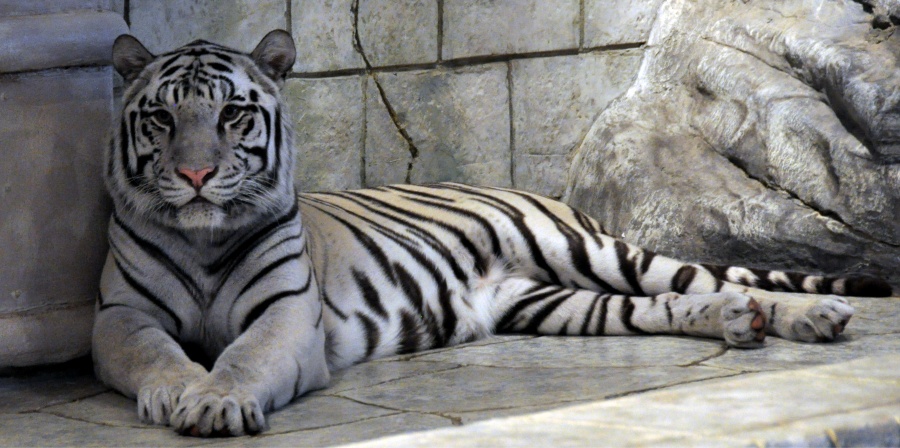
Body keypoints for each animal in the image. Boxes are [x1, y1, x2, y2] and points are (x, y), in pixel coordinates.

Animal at [95, 29, 893, 437]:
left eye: (233, 114)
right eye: (161, 117)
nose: (197, 175)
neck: (203, 237)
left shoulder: (287, 315)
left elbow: (243, 357)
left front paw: (216, 401)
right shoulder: (122, 317)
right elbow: (158, 355)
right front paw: (182, 392)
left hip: (593, 252)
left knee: (700, 276)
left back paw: (809, 316)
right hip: (552, 303)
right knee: (670, 304)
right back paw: (736, 319)